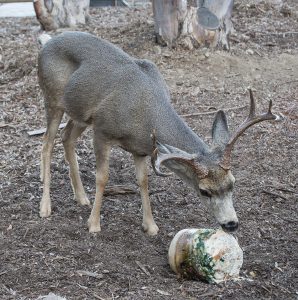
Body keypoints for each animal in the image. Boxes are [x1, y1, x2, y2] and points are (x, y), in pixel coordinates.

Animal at [37, 31, 280, 236]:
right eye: (204, 191)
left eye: (232, 183)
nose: (231, 224)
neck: (144, 112)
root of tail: (47, 41)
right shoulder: (102, 131)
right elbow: (102, 177)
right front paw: (94, 224)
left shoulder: (140, 148)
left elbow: (143, 181)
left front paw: (151, 226)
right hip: (52, 98)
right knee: (47, 143)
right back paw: (45, 207)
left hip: (80, 114)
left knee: (67, 137)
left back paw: (81, 197)